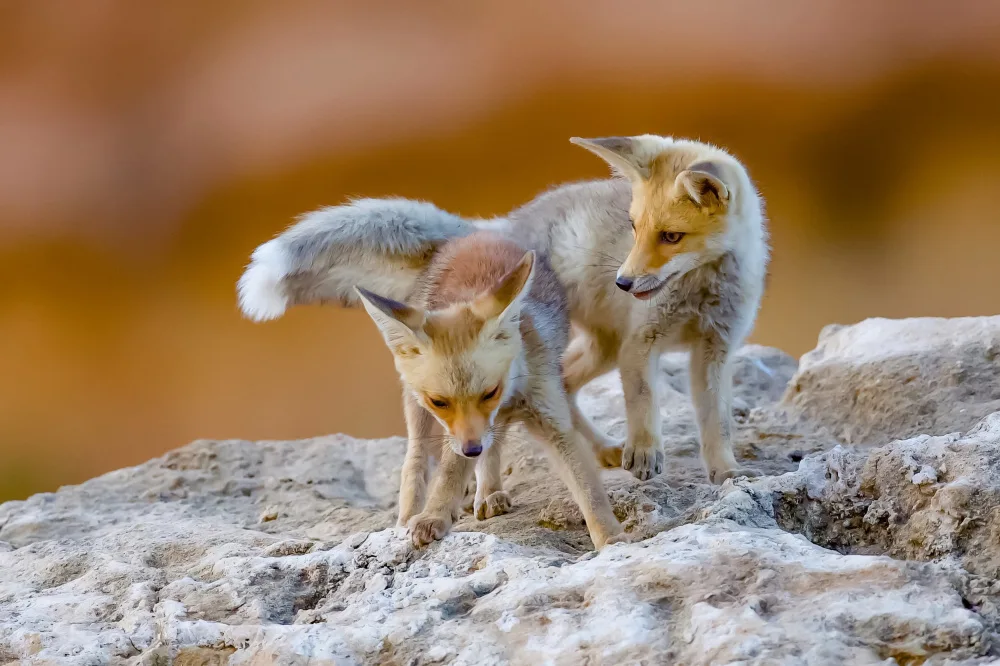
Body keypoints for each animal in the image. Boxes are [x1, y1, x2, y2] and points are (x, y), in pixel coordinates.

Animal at [237, 134, 767, 487]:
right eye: (634, 227)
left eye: (672, 236)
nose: (624, 281)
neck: (701, 292)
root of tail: (499, 226)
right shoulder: (642, 344)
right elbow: (642, 404)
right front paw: (644, 452)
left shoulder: (715, 349)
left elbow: (716, 421)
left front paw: (726, 472)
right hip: (590, 347)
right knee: (553, 393)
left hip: (597, 349)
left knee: (564, 388)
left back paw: (597, 452)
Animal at [240, 228, 624, 549]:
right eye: (440, 402)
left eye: (490, 392)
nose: (471, 448)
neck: (511, 393)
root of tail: (475, 233)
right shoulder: (455, 430)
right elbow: (449, 473)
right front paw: (434, 516)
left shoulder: (546, 413)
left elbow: (587, 487)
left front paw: (611, 538)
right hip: (416, 410)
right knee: (416, 461)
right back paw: (411, 515)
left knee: (493, 445)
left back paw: (489, 491)